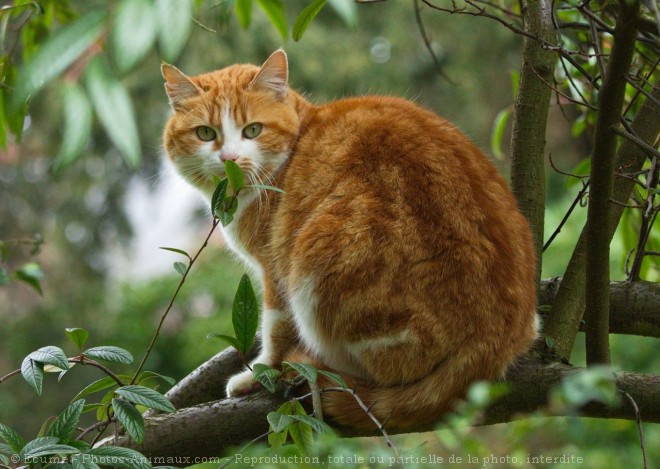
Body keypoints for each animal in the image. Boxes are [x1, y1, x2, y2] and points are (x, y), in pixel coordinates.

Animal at [162, 49, 540, 430]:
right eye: (205, 133)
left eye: (252, 130)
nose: (229, 159)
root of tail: (496, 338)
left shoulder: (275, 268)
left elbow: (276, 327)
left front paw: (262, 371)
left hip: (319, 258)